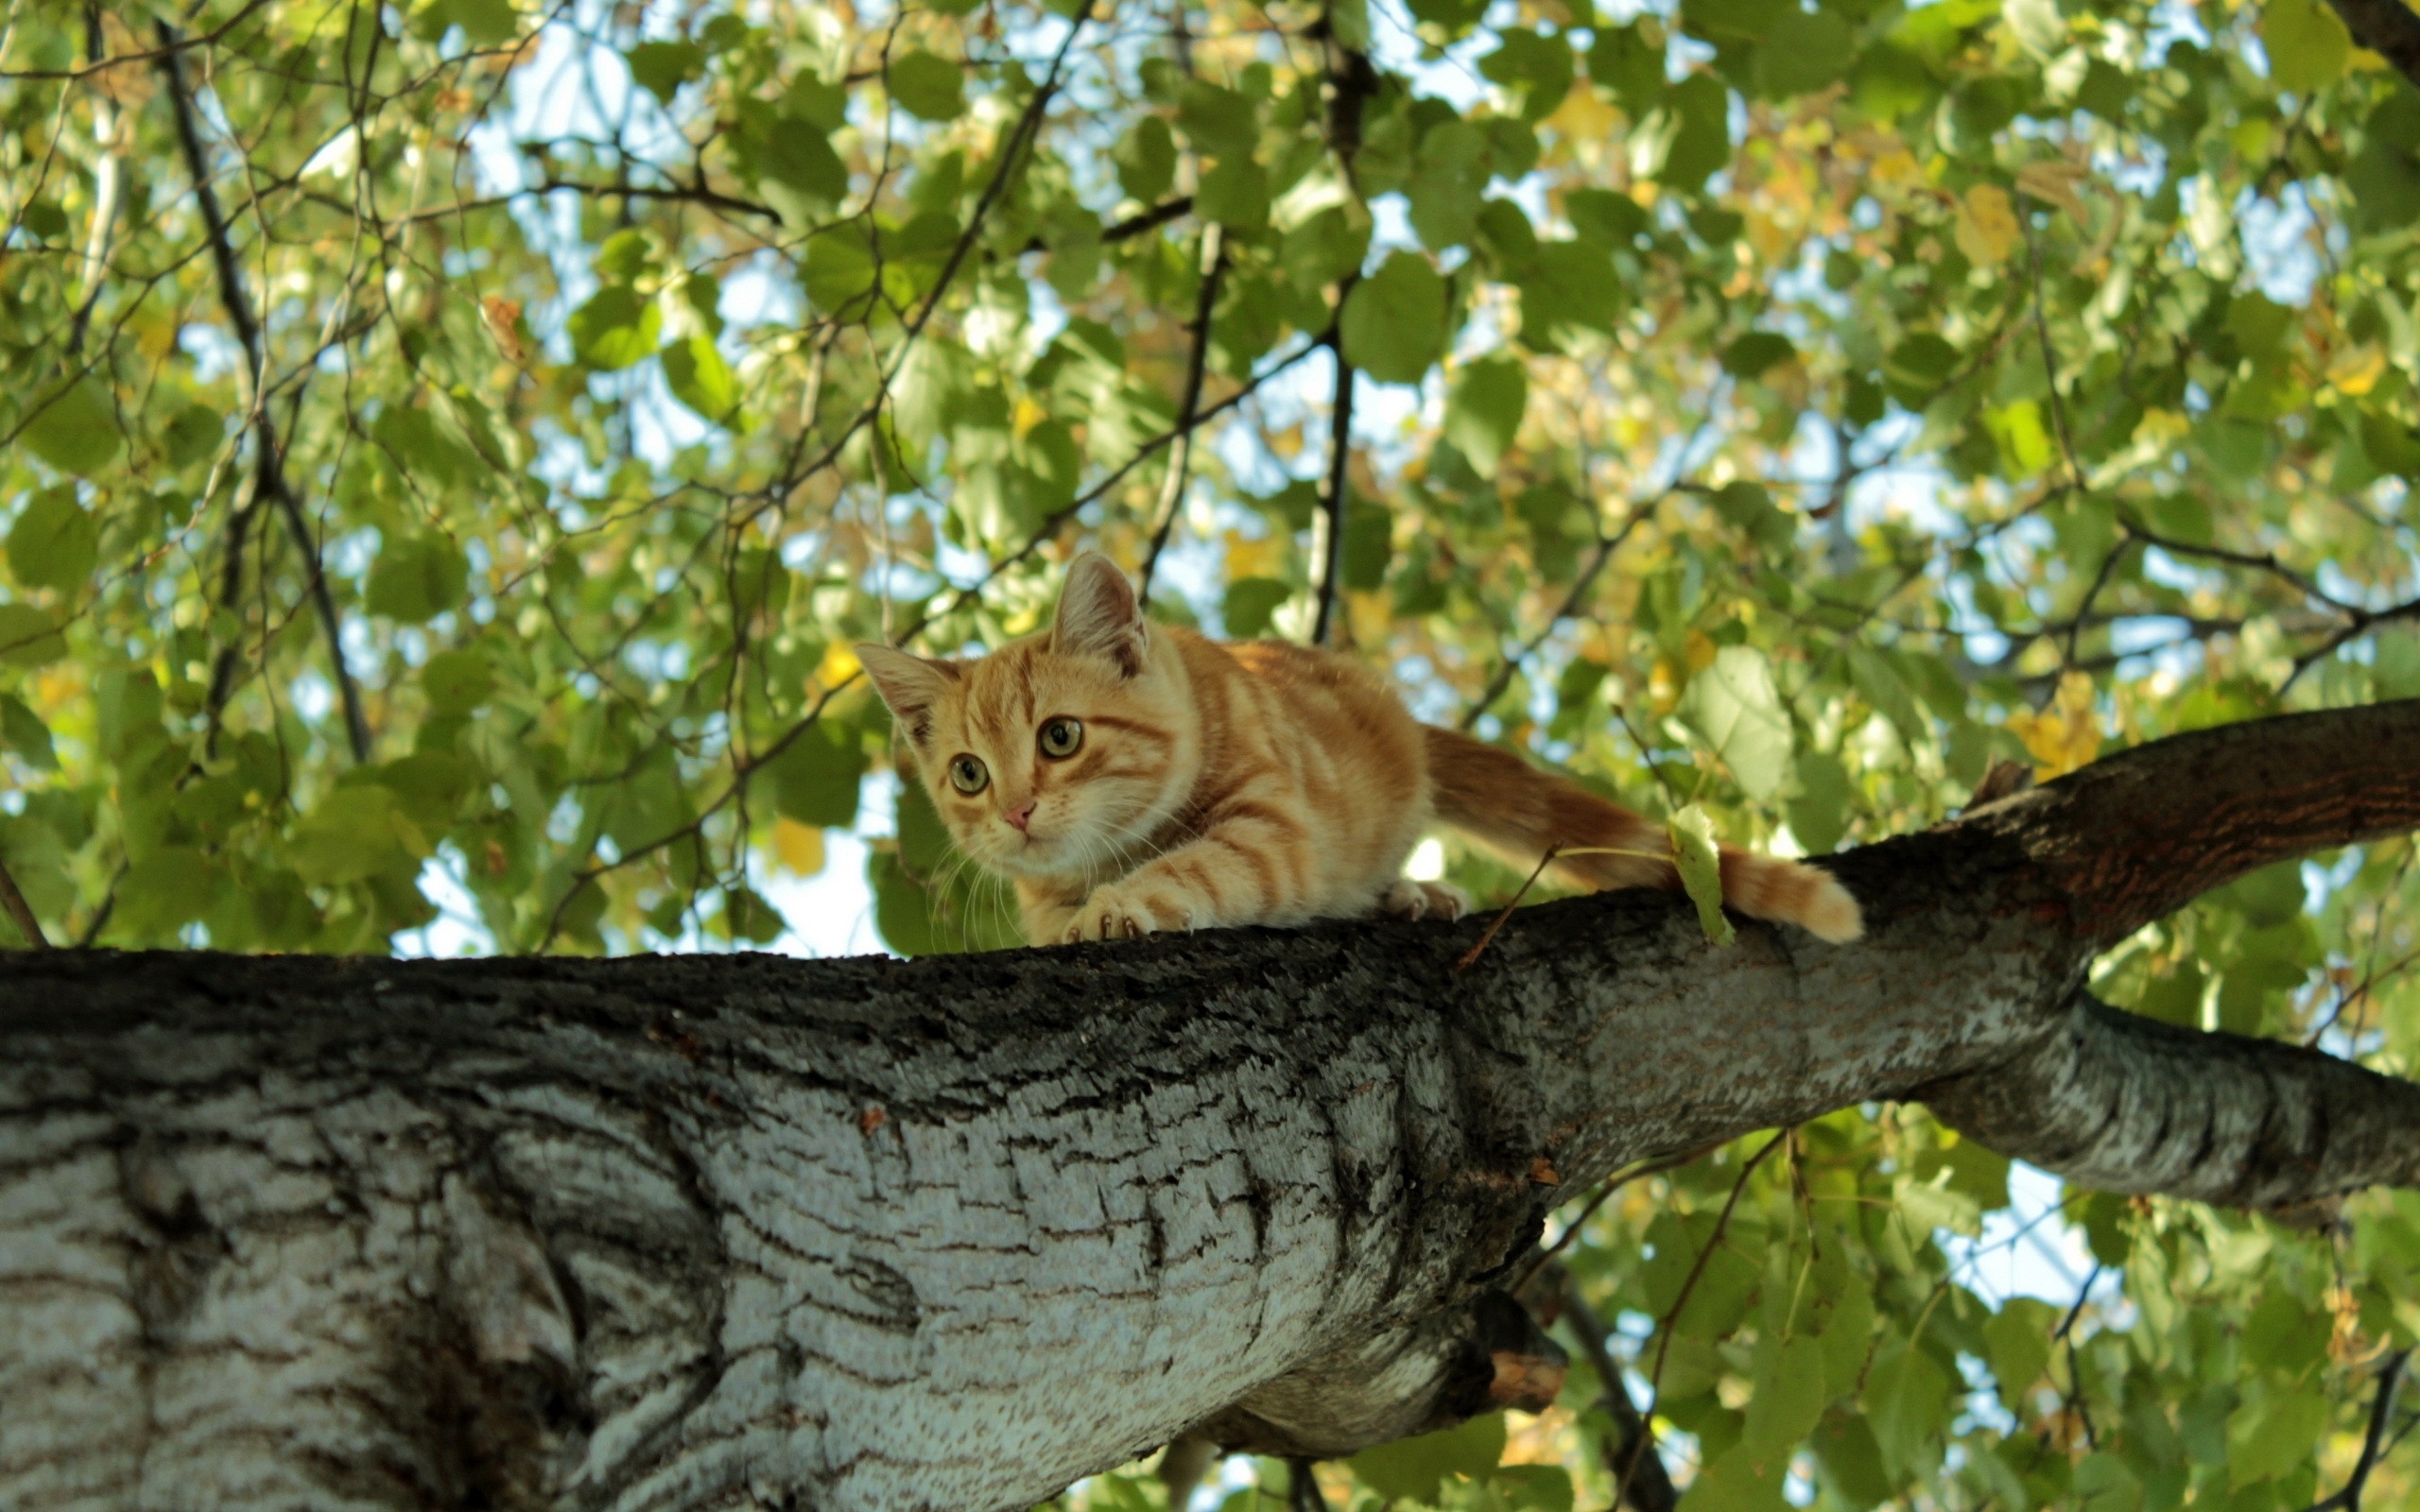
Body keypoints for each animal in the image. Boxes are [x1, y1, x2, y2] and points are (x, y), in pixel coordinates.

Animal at [861, 554, 1858, 943]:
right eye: (969, 774)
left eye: (1060, 737)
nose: (1017, 811)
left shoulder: (1275, 830)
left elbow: (1193, 866)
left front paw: (1118, 906)